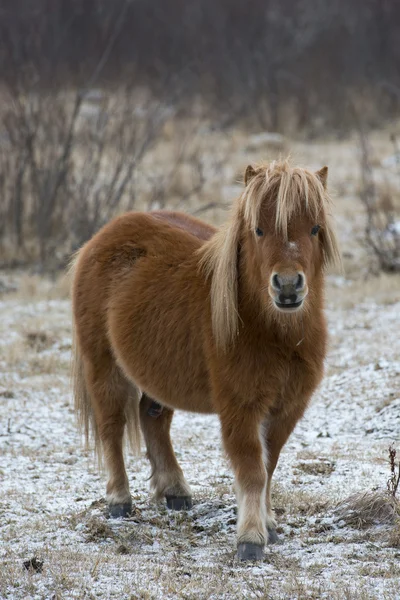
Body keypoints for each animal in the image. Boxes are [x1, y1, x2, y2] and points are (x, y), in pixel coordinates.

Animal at [71, 158, 340, 556]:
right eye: (258, 230)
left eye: (315, 228)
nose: (288, 286)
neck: (274, 333)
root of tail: (101, 237)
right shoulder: (240, 407)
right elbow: (252, 469)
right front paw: (250, 539)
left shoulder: (288, 407)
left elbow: (270, 464)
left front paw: (269, 526)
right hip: (104, 366)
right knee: (112, 427)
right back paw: (119, 501)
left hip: (160, 373)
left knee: (152, 420)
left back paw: (175, 492)